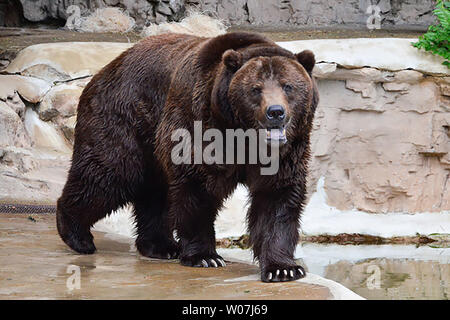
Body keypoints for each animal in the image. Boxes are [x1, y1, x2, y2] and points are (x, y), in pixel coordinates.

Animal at [56, 31, 318, 282]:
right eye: (256, 88)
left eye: (287, 86)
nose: (275, 112)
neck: (244, 137)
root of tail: (103, 71)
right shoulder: (198, 123)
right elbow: (196, 189)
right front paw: (205, 256)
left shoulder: (287, 153)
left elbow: (277, 198)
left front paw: (283, 268)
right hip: (124, 118)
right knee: (108, 174)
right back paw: (77, 235)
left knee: (154, 192)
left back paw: (160, 245)